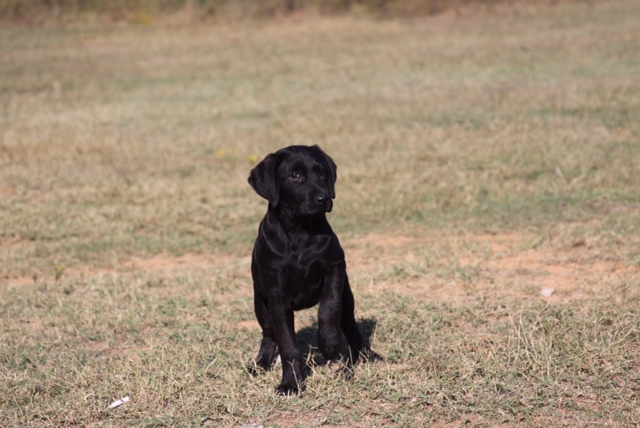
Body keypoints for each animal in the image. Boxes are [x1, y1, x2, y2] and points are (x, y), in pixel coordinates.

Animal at [250, 145, 370, 394]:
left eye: (322, 172)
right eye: (295, 175)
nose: (323, 198)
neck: (300, 232)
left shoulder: (335, 268)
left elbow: (329, 307)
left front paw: (330, 343)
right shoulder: (277, 298)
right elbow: (287, 345)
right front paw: (291, 383)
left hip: (348, 297)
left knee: (350, 325)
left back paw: (367, 356)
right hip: (261, 303)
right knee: (269, 335)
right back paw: (260, 364)